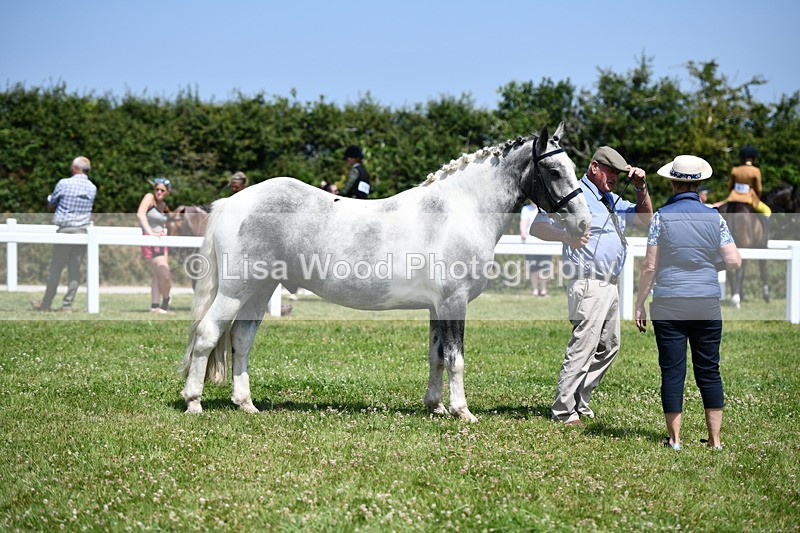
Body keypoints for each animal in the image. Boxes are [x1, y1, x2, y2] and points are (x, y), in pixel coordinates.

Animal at [179, 123, 591, 422]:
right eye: (554, 170)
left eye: (575, 168)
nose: (585, 224)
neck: (457, 211)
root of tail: (232, 201)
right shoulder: (454, 303)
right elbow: (456, 358)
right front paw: (462, 412)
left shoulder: (436, 308)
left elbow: (436, 355)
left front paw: (435, 406)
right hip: (235, 290)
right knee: (208, 334)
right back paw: (194, 402)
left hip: (260, 291)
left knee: (241, 339)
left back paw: (246, 403)